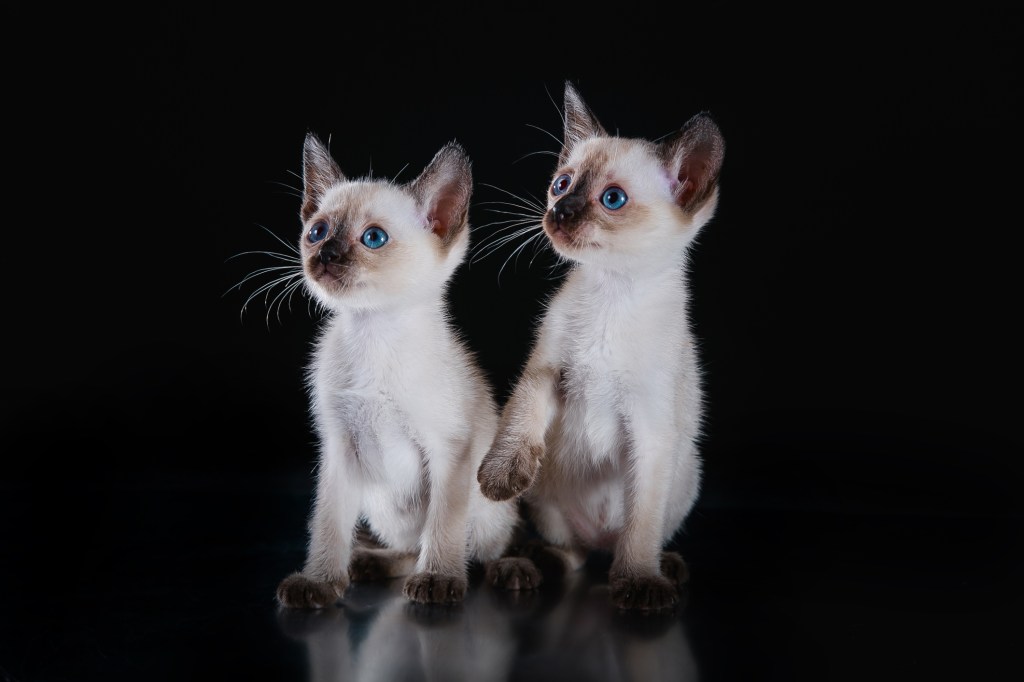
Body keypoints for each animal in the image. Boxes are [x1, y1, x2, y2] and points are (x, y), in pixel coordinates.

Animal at [276, 131, 540, 606]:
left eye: (374, 238)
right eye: (317, 232)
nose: (326, 254)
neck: (374, 333)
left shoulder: (449, 450)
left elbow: (443, 525)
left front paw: (438, 579)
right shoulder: (338, 449)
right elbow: (327, 524)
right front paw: (320, 581)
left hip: (487, 506)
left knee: (486, 546)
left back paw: (509, 568)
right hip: (381, 508)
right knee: (407, 547)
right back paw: (366, 563)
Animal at [475, 80, 724, 610]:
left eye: (612, 198)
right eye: (561, 184)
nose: (559, 212)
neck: (613, 293)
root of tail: (599, 539)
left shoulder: (650, 430)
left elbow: (641, 526)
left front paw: (639, 583)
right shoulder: (546, 372)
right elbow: (519, 421)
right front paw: (498, 478)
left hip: (685, 477)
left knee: (626, 540)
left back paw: (662, 568)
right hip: (546, 500)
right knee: (574, 553)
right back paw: (539, 560)